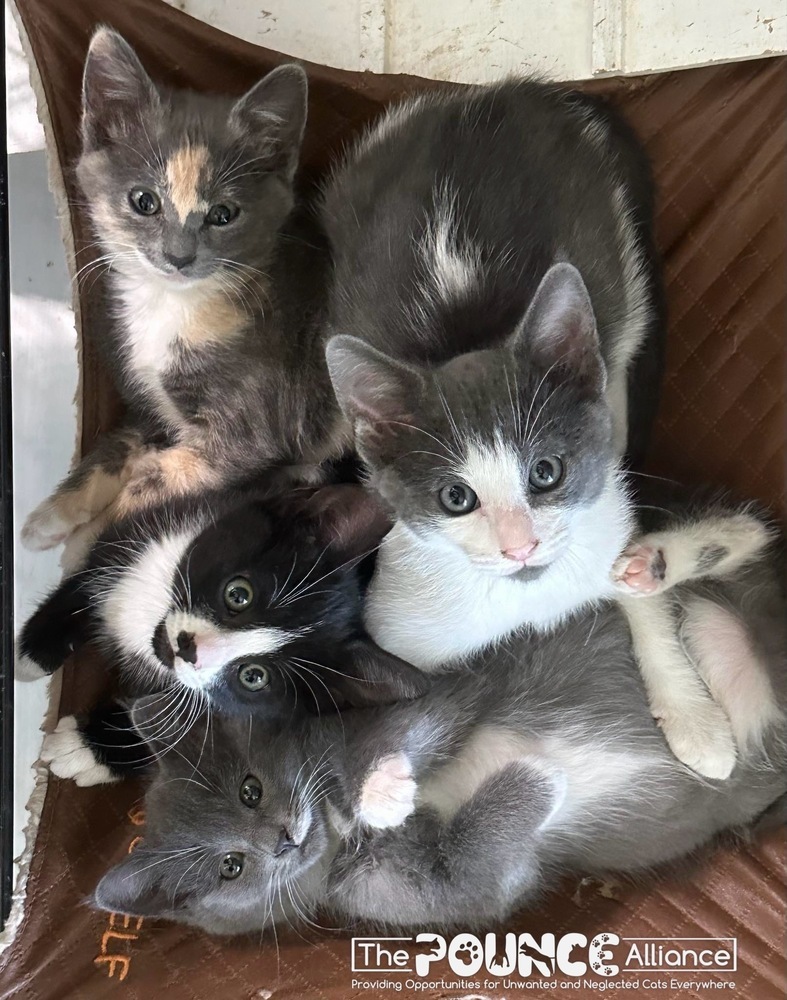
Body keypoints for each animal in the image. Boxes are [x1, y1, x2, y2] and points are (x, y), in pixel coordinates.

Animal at [23, 27, 344, 568]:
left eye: (223, 214)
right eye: (143, 201)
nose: (179, 255)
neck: (171, 306)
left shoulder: (244, 434)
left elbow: (150, 482)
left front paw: (88, 549)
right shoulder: (150, 406)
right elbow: (122, 441)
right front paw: (54, 515)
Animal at [94, 548, 787, 936]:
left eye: (250, 788)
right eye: (231, 868)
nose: (283, 840)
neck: (335, 830)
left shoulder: (439, 690)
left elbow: (419, 722)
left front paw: (380, 789)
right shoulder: (448, 894)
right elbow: (477, 868)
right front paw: (534, 778)